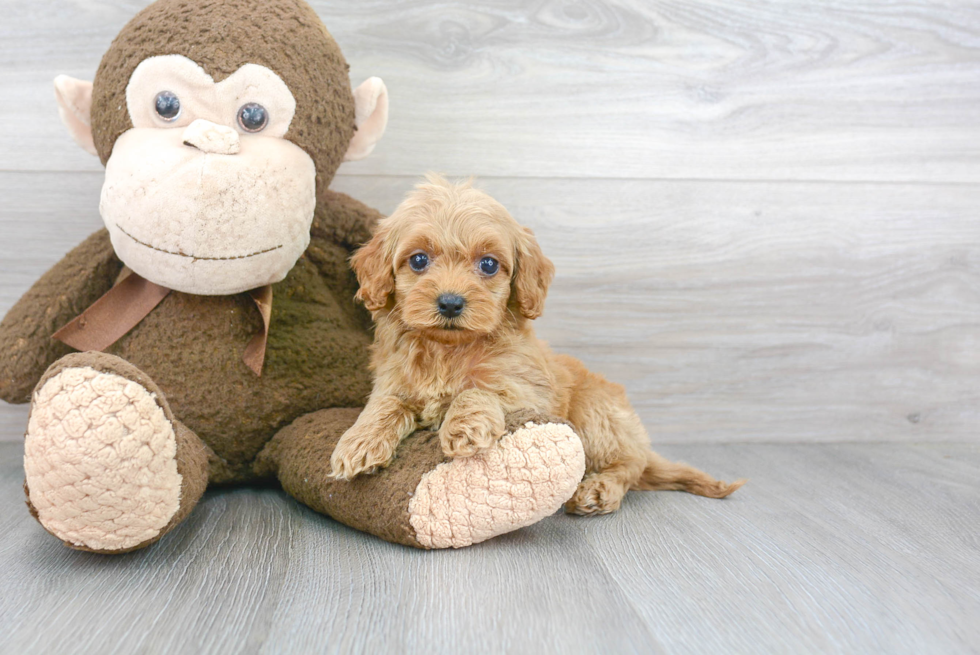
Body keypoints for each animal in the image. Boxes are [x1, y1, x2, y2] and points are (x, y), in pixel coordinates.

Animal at [330, 177, 744, 516]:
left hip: (595, 414)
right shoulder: (393, 381)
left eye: (488, 264)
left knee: (629, 466)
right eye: (418, 260)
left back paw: (599, 490)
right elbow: (384, 405)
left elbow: (477, 390)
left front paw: (464, 426)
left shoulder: (529, 392)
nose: (450, 303)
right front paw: (358, 443)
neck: (448, 349)